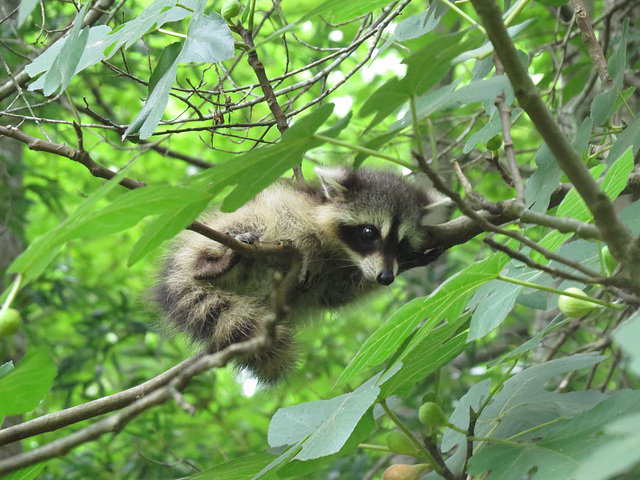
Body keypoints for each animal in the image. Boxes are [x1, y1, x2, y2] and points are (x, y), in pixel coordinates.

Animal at [155, 169, 440, 382]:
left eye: (401, 243)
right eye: (369, 232)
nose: (386, 277)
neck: (342, 252)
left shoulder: (335, 280)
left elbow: (337, 295)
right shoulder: (292, 203)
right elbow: (283, 213)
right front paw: (309, 244)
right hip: (216, 235)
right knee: (244, 225)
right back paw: (208, 264)